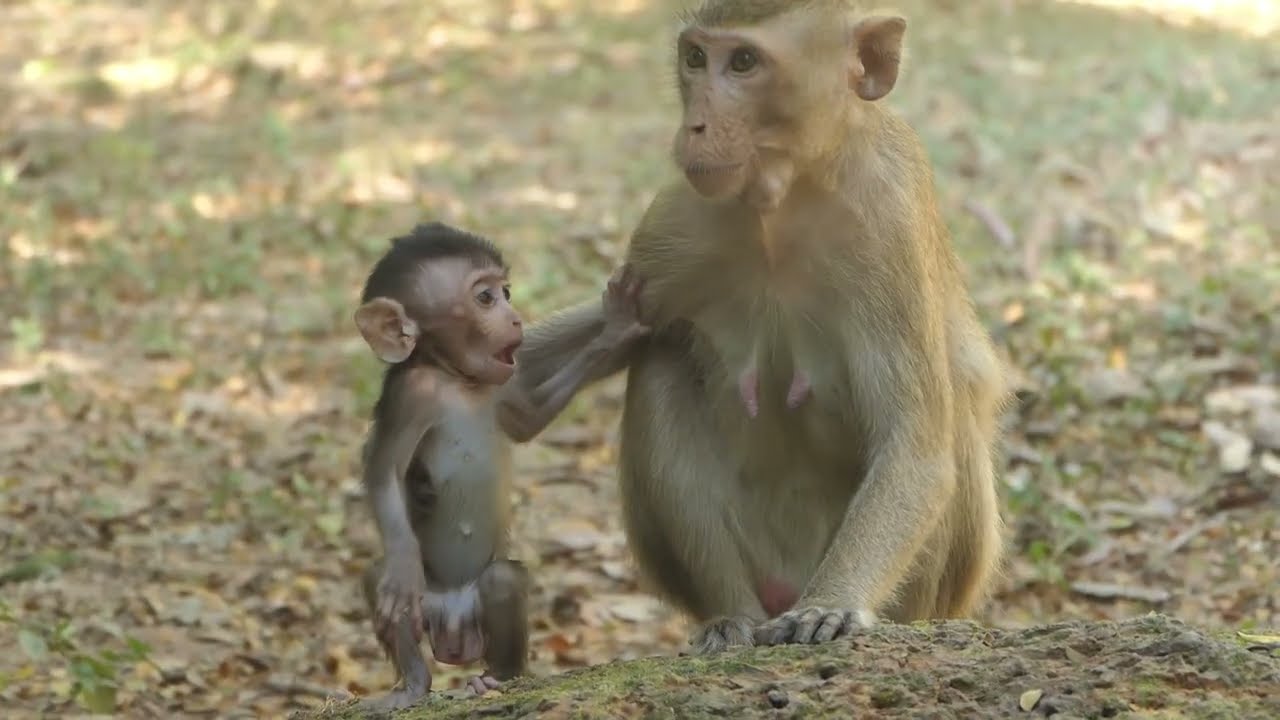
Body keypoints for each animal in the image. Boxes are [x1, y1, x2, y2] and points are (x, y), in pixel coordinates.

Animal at [353, 222, 649, 710]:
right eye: (486, 298)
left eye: (506, 291)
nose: (515, 317)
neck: (457, 380)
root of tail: (453, 623)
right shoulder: (411, 394)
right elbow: (385, 471)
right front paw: (400, 565)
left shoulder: (502, 384)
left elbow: (528, 421)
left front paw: (616, 329)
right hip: (429, 604)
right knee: (381, 581)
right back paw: (414, 682)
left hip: (478, 607)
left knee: (502, 580)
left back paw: (500, 676)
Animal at [507, 0, 1009, 655]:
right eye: (696, 58)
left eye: (744, 62)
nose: (695, 126)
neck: (786, 198)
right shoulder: (673, 226)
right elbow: (523, 384)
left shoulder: (889, 221)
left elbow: (916, 448)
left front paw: (833, 603)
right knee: (662, 363)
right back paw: (733, 617)